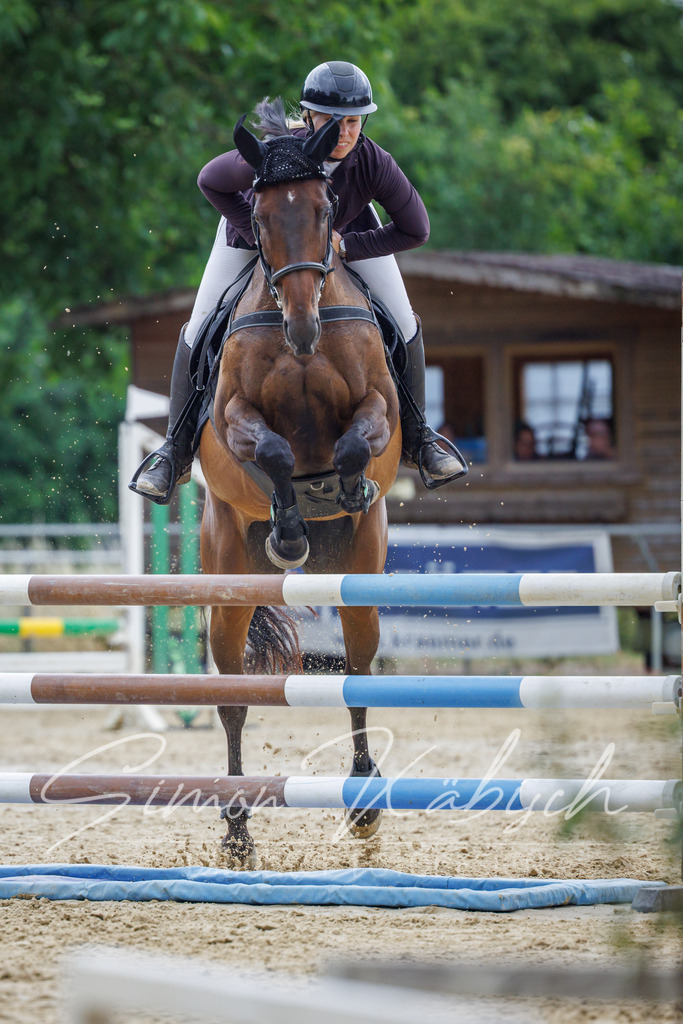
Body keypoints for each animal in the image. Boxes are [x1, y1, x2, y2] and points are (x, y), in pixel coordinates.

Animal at [198, 105, 402, 862]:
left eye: (324, 211)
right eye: (257, 219)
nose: (304, 327)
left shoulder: (378, 405)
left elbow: (355, 440)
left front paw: (346, 488)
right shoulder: (232, 415)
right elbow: (275, 450)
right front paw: (290, 532)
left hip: (361, 576)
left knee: (359, 675)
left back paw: (365, 800)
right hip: (227, 577)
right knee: (231, 696)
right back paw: (235, 829)